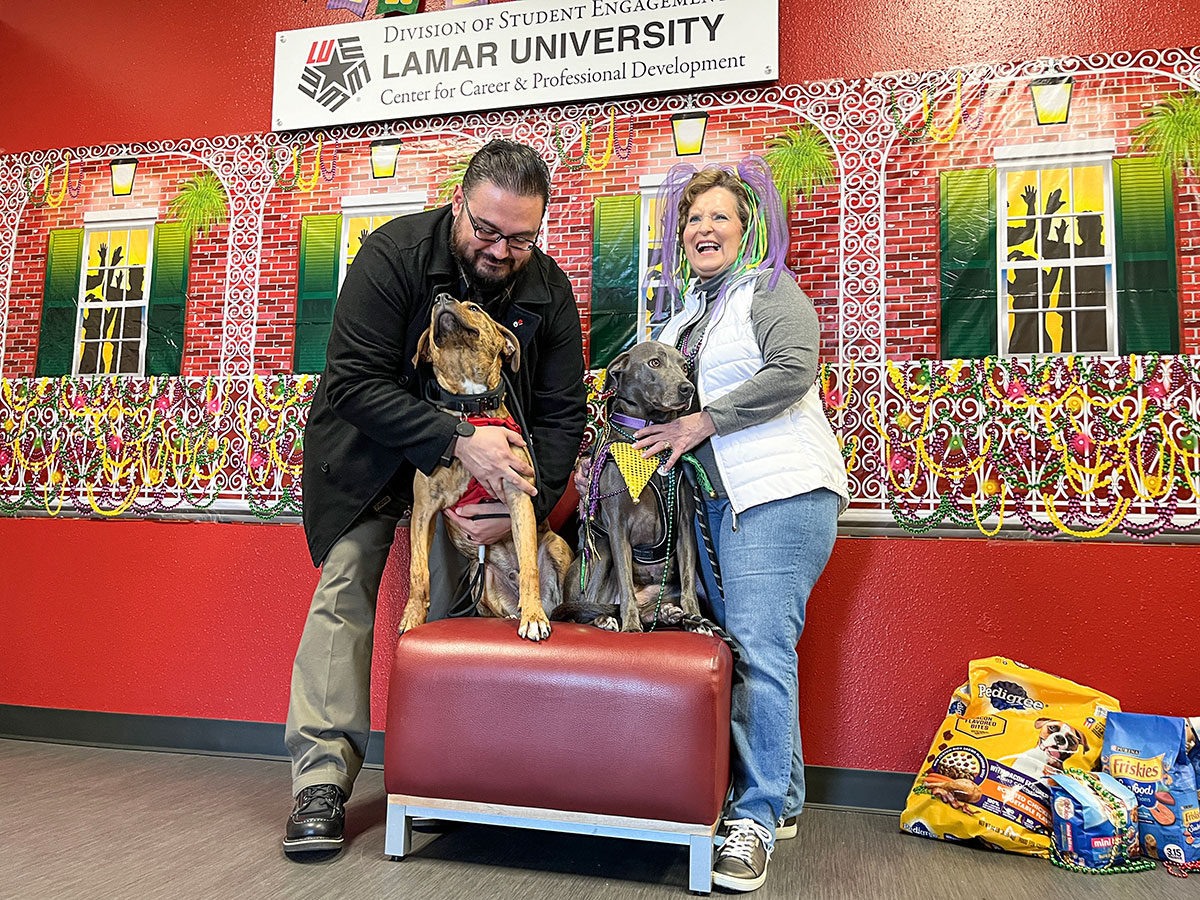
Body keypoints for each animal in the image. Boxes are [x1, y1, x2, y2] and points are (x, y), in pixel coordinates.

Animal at [398, 294, 571, 643]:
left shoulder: (519, 498)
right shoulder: (424, 509)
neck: (472, 409)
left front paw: (534, 619)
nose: (441, 298)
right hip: (482, 576)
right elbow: (418, 571)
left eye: (474, 308)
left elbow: (529, 566)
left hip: (558, 547)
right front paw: (412, 618)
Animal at [552, 340, 700, 633]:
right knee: (588, 606)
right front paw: (630, 626)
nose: (687, 388)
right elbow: (626, 583)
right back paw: (607, 618)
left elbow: (689, 581)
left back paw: (665, 612)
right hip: (601, 553)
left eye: (684, 367)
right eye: (654, 362)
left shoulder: (685, 524)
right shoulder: (618, 528)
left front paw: (697, 620)